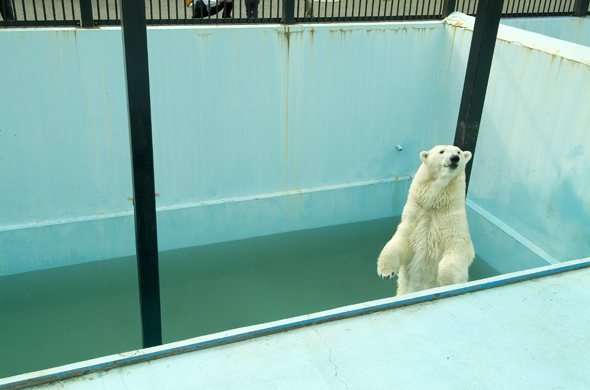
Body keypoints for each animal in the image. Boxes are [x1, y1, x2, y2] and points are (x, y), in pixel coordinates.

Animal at [380, 145, 476, 296]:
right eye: (441, 151)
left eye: (459, 152)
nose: (454, 158)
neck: (434, 207)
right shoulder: (413, 219)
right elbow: (399, 241)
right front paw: (385, 272)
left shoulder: (453, 224)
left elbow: (457, 250)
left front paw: (447, 284)